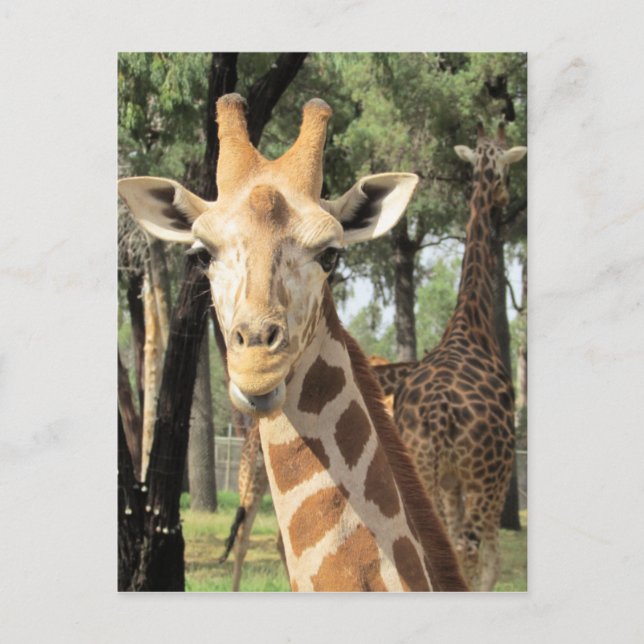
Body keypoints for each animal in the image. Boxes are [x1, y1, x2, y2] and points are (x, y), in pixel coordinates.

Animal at [393, 124, 527, 591]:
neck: (472, 318)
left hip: (422, 467)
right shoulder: (497, 474)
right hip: (485, 476)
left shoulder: (450, 480)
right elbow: (492, 560)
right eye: (508, 169)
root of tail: (438, 413)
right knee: (470, 547)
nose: (505, 197)